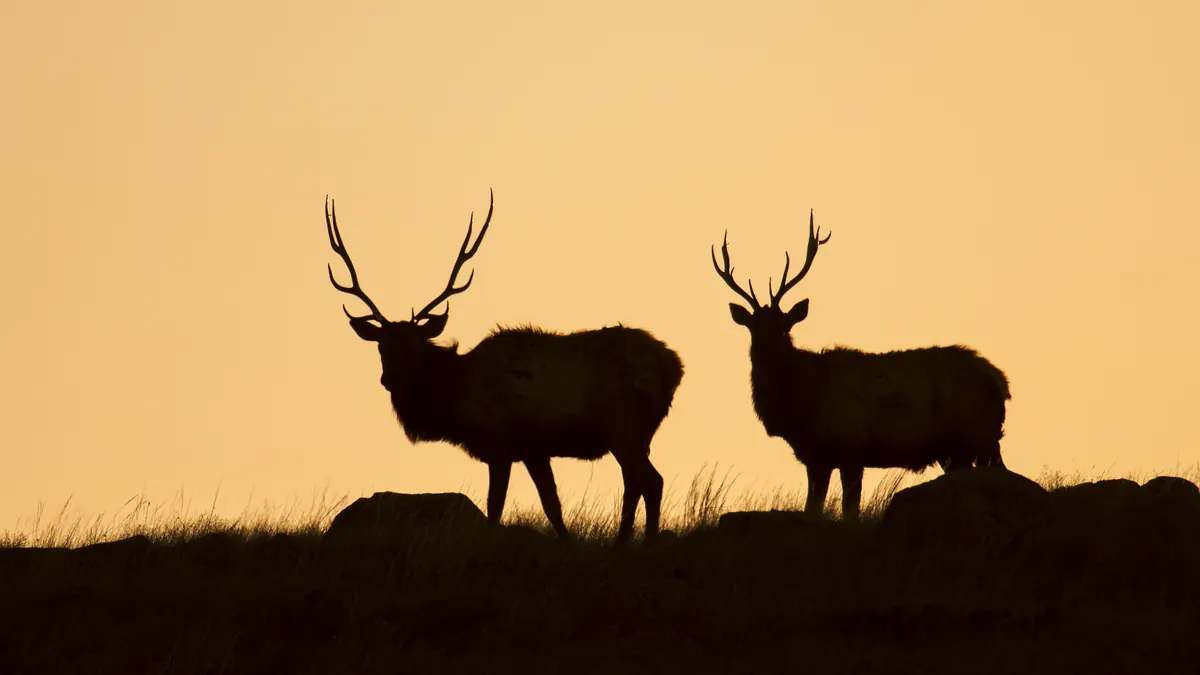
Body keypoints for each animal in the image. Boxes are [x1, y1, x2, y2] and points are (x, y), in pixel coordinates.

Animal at [325, 190, 684, 544]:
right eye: (381, 346)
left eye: (414, 346)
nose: (388, 379)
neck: (457, 401)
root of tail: (674, 366)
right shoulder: (534, 450)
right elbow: (552, 506)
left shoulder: (500, 445)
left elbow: (495, 508)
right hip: (638, 433)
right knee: (639, 482)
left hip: (623, 425)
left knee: (649, 481)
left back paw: (638, 542)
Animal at [711, 209, 1010, 521]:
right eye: (753, 328)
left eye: (784, 327)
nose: (766, 350)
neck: (804, 406)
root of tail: (1000, 380)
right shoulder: (816, 458)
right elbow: (812, 507)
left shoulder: (851, 448)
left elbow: (849, 509)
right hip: (955, 450)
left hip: (981, 434)